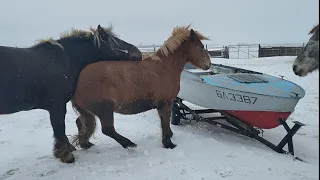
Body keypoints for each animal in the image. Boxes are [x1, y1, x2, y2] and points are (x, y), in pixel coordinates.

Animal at [0, 23, 142, 163]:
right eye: (115, 41)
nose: (139, 53)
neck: (64, 60)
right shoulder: (56, 106)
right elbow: (59, 129)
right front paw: (65, 154)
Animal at [69, 24, 211, 160]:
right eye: (201, 46)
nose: (208, 64)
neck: (164, 67)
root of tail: (78, 82)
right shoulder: (166, 103)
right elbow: (165, 123)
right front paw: (168, 143)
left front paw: (169, 137)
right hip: (105, 110)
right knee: (108, 129)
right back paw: (129, 144)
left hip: (88, 112)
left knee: (81, 124)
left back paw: (86, 143)